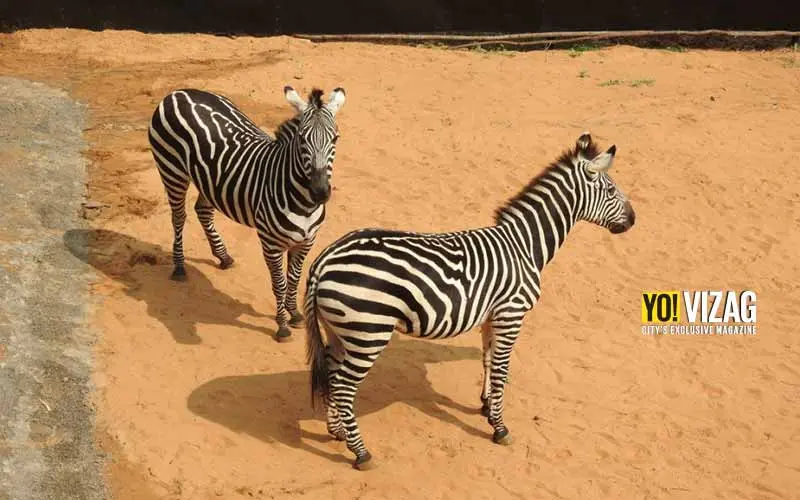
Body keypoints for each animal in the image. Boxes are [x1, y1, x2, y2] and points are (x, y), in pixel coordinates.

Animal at [148, 85, 345, 341]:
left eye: (335, 138)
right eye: (302, 139)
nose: (320, 192)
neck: (303, 204)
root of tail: (178, 92)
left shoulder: (306, 242)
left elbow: (294, 279)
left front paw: (294, 313)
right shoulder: (270, 244)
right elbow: (279, 283)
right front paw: (282, 325)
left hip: (209, 180)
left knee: (202, 210)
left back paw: (223, 256)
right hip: (172, 170)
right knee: (179, 217)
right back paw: (180, 266)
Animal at [304, 132, 635, 469]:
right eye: (610, 190)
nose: (633, 219)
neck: (524, 245)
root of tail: (324, 259)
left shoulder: (492, 315)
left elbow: (488, 359)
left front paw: (486, 407)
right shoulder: (512, 313)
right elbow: (502, 369)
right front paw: (500, 428)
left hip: (340, 330)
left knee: (331, 375)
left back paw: (337, 432)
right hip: (369, 331)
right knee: (344, 388)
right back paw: (361, 452)